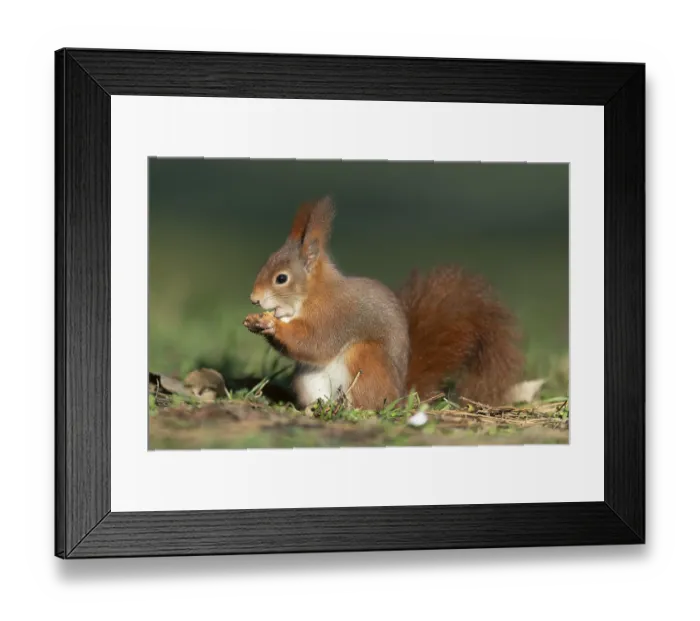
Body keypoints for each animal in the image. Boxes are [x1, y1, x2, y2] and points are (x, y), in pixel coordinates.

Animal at [243, 196, 524, 410]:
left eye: (281, 278)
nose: (254, 299)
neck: (312, 296)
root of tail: (399, 397)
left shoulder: (337, 315)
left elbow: (315, 342)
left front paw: (271, 325)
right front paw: (257, 322)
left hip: (366, 359)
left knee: (369, 404)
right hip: (309, 381)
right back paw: (317, 409)